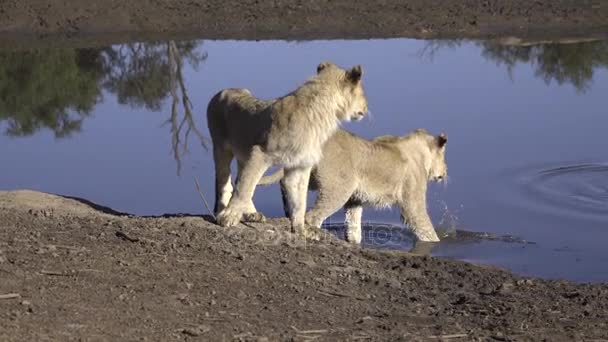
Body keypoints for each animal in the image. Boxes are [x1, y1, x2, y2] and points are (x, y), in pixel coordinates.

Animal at [207, 61, 368, 236]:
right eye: (362, 92)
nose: (366, 108)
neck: (323, 116)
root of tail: (223, 91)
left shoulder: (299, 165)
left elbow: (299, 202)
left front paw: (301, 230)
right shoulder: (260, 153)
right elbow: (244, 188)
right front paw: (228, 217)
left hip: (244, 154)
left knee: (240, 179)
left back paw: (251, 214)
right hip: (221, 148)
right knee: (225, 181)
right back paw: (222, 211)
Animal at [256, 128, 446, 243]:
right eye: (444, 157)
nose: (445, 172)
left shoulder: (355, 199)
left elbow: (353, 224)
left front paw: (354, 241)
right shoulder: (412, 203)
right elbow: (423, 225)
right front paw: (436, 241)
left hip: (311, 177)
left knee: (285, 183)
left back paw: (289, 211)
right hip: (339, 188)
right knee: (312, 216)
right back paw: (313, 234)